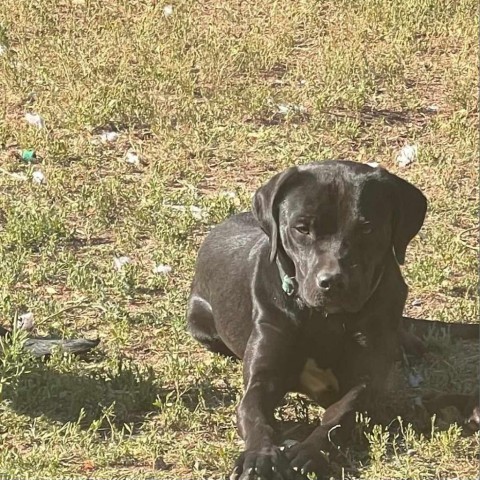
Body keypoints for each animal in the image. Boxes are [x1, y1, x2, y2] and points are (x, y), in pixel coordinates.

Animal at [187, 162, 476, 480]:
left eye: (367, 228)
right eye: (302, 228)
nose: (333, 282)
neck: (325, 320)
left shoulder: (366, 380)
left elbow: (341, 413)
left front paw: (310, 451)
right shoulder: (263, 375)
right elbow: (254, 414)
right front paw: (260, 457)